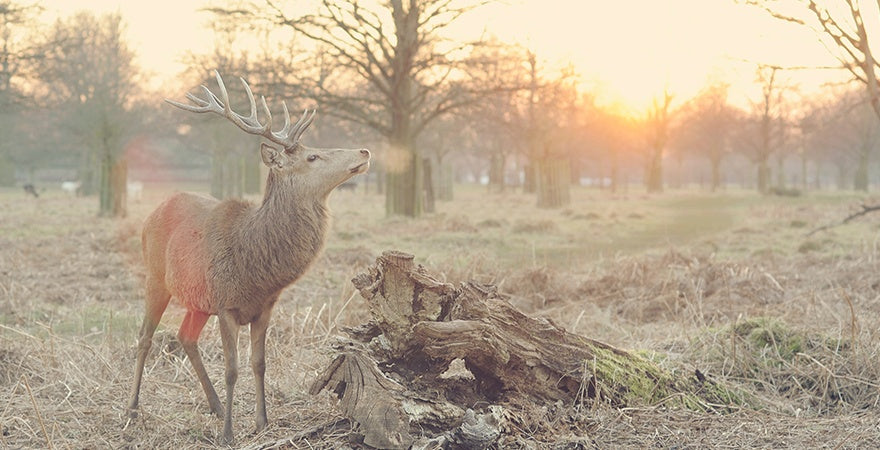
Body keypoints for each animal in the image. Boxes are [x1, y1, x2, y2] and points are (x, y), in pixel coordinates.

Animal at [125, 71, 370, 442]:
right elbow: (232, 368)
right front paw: (229, 433)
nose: (364, 149)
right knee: (144, 337)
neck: (255, 266)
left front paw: (262, 422)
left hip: (198, 299)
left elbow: (259, 363)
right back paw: (133, 410)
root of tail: (154, 210)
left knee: (185, 336)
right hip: (155, 277)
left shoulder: (264, 306)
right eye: (312, 157)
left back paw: (214, 405)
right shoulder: (226, 304)